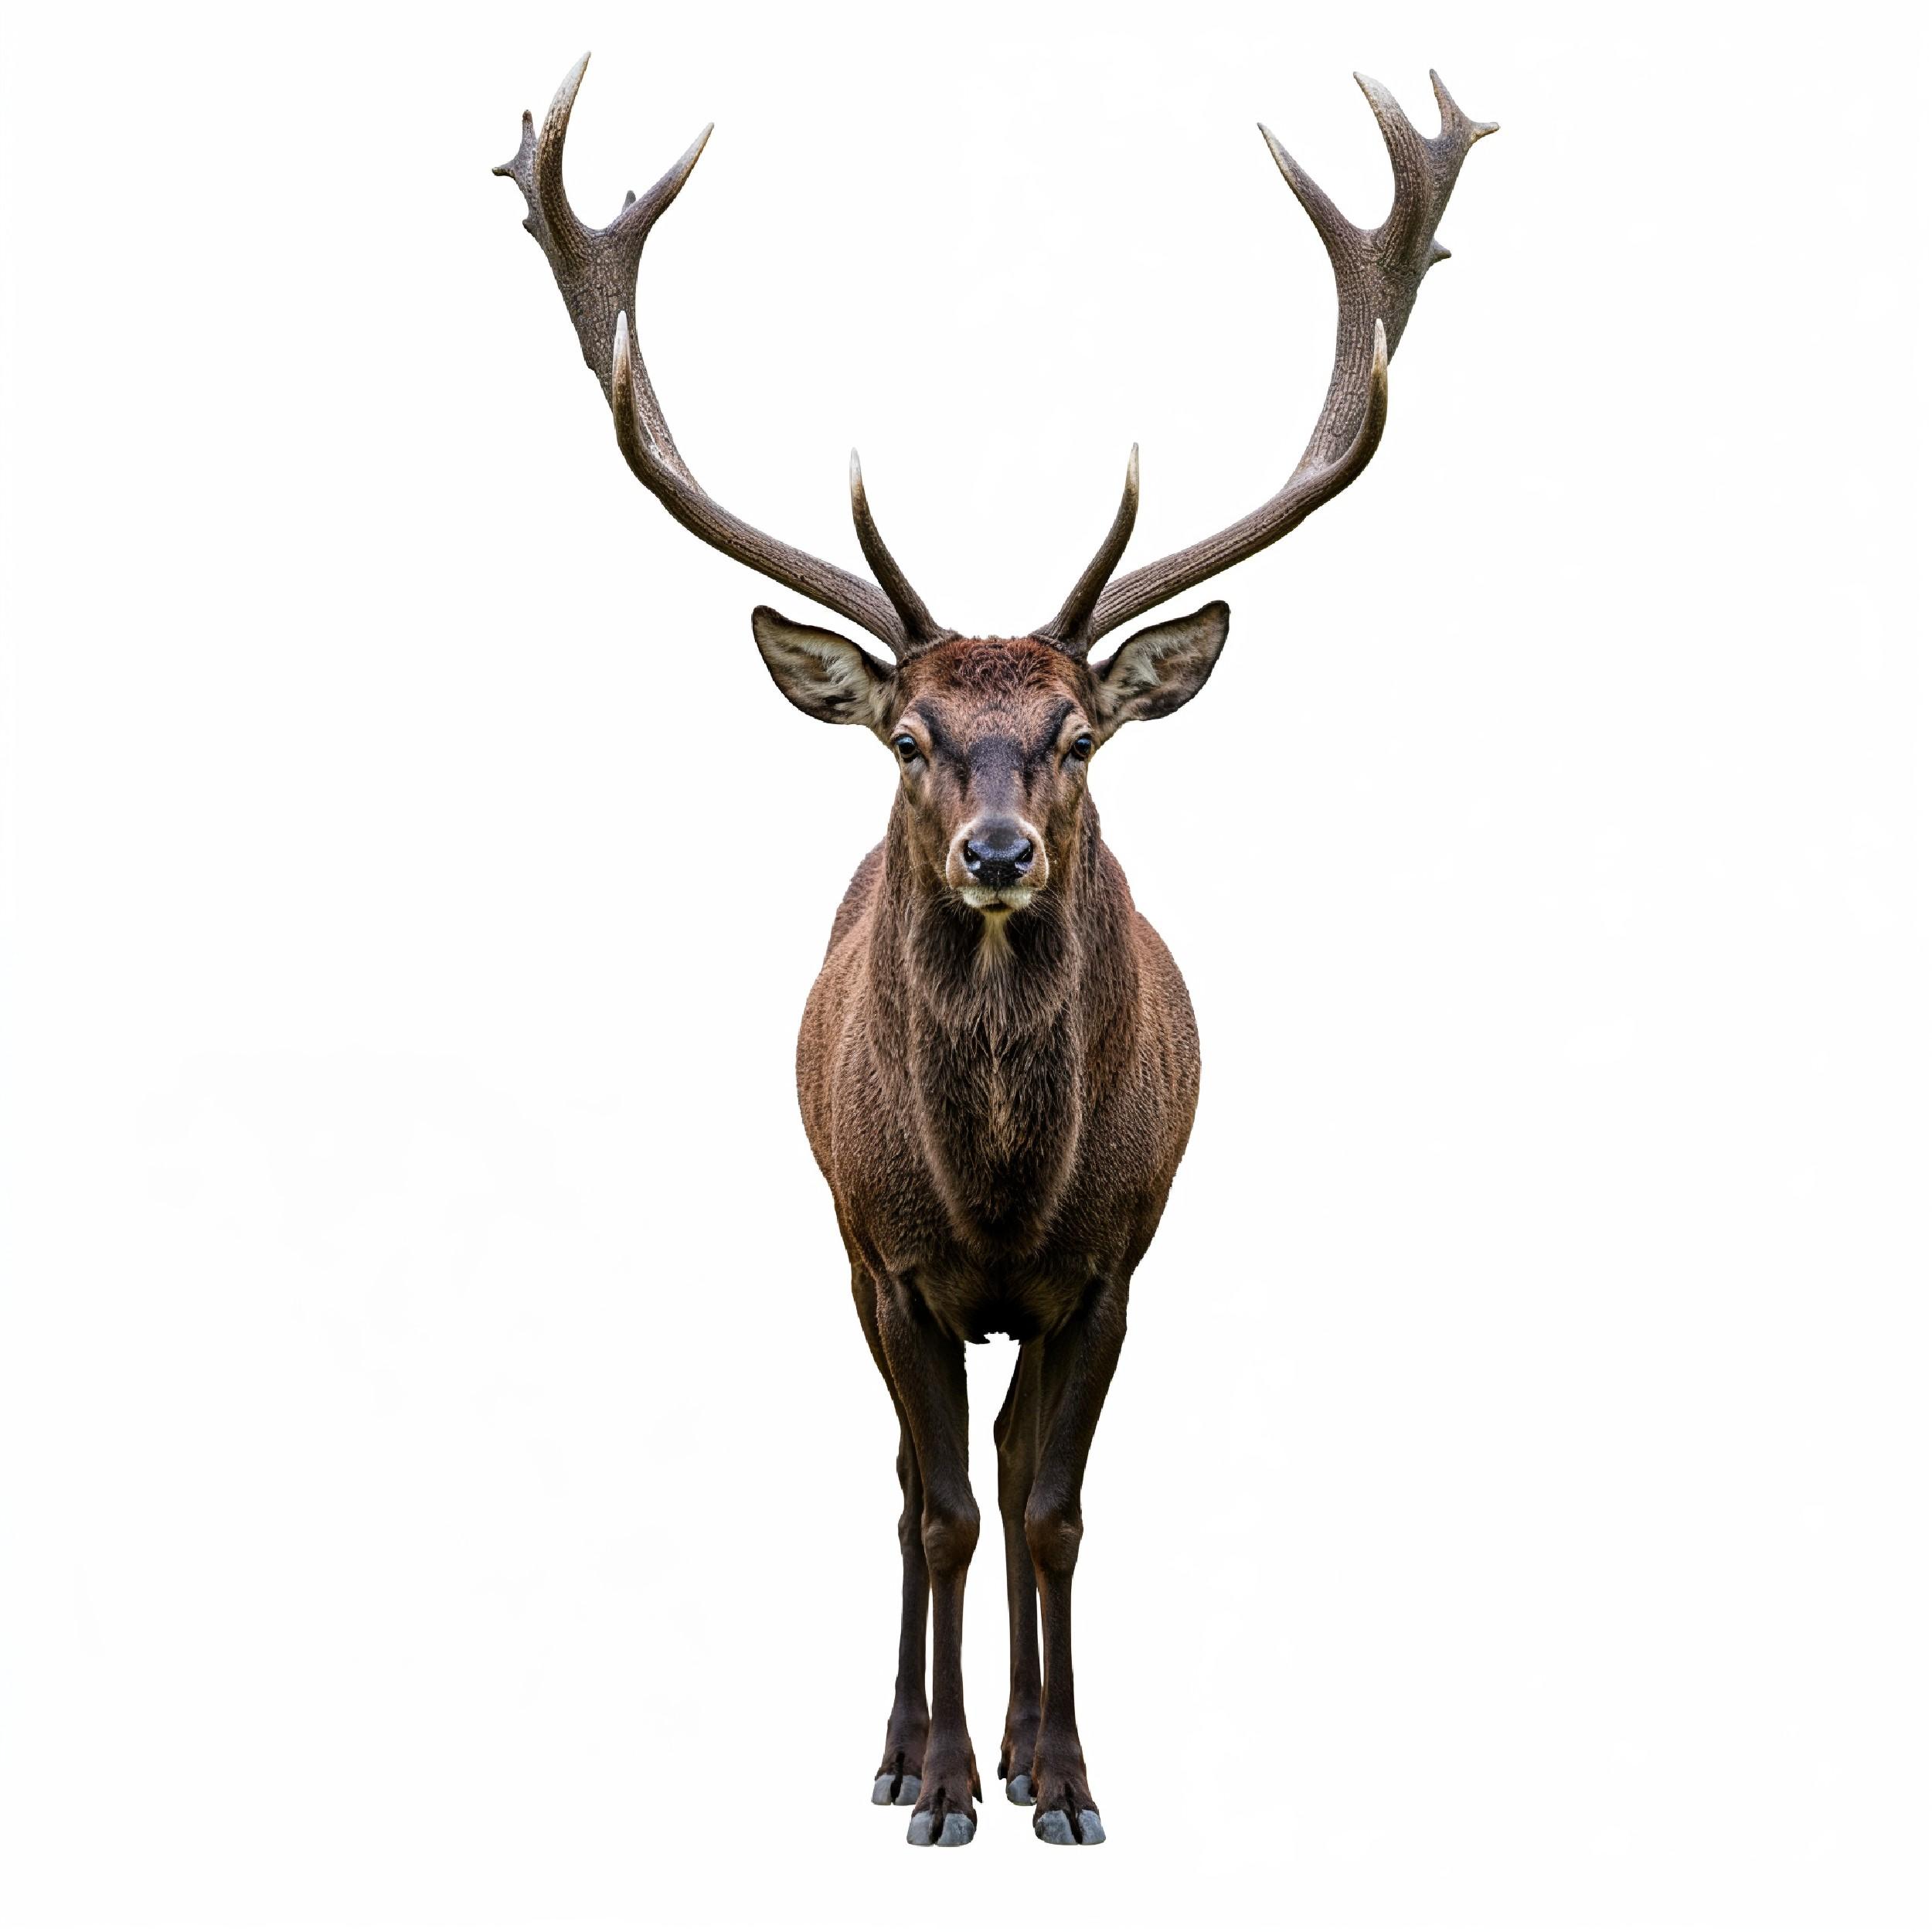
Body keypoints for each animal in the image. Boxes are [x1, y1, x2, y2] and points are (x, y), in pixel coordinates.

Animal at [497, 54, 1493, 1849]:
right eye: (907, 735)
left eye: (1079, 734)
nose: (998, 850)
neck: (1000, 1190)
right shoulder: (892, 1263)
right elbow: (946, 1512)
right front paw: (941, 1784)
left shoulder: (1106, 1267)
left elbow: (1049, 1511)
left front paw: (1067, 1779)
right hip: (844, 1243)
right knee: (908, 1488)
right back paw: (908, 1743)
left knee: (1019, 1463)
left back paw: (1027, 1745)